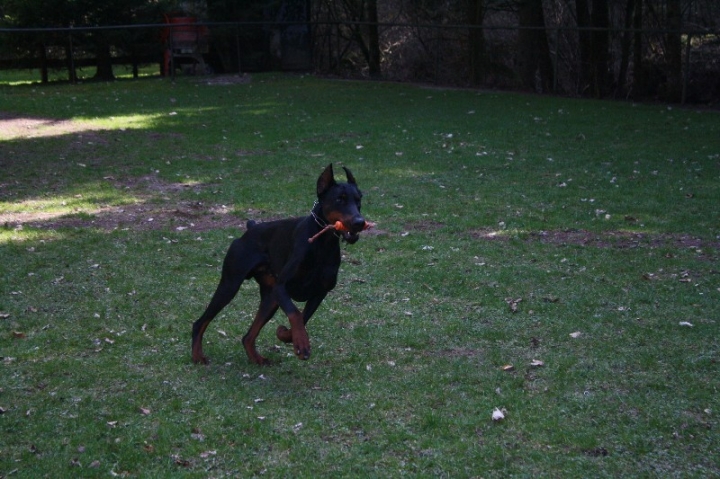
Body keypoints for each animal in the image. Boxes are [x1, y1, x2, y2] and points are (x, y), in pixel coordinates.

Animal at [190, 165, 366, 368]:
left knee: (247, 336)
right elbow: (295, 313)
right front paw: (302, 344)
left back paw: (257, 359)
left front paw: (286, 335)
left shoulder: (320, 292)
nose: (360, 222)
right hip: (230, 285)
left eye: (359, 200)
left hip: (270, 298)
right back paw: (197, 356)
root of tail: (250, 228)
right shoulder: (282, 287)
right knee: (200, 322)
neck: (321, 243)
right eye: (339, 199)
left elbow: (302, 318)